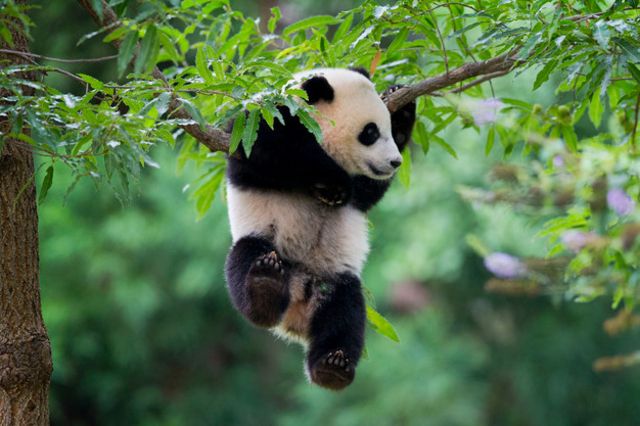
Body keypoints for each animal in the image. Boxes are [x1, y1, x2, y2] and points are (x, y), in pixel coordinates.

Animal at [224, 68, 416, 390]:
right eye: (370, 133)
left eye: (388, 129)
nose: (394, 162)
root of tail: (295, 309)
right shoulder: (262, 119)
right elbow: (268, 148)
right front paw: (334, 183)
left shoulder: (363, 190)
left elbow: (366, 192)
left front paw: (401, 103)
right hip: (261, 240)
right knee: (245, 259)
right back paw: (265, 287)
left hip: (333, 278)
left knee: (345, 314)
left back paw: (332, 367)